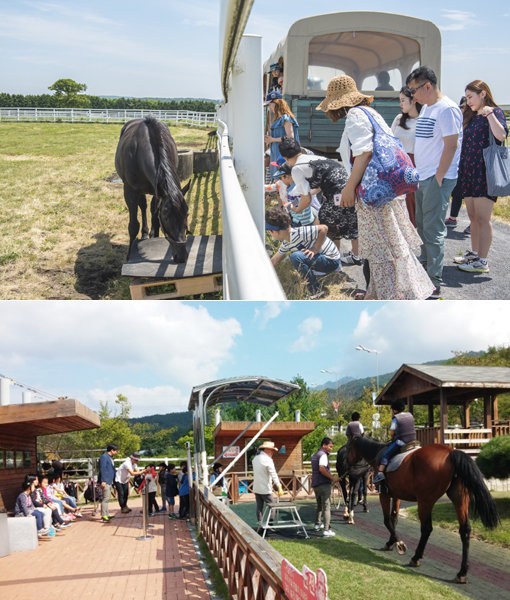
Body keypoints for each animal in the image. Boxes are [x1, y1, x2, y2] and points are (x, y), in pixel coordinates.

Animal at [114, 117, 190, 262]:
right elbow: (133, 225)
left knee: (146, 207)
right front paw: (129, 255)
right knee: (142, 206)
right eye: (166, 216)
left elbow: (155, 217)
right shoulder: (130, 191)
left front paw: (154, 236)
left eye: (187, 214)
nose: (181, 256)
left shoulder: (158, 191)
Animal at [346, 436, 498, 580]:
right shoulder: (396, 495)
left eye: (348, 447)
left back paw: (416, 557)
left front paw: (399, 544)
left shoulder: (384, 494)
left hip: (425, 501)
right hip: (459, 498)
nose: (346, 464)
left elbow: (387, 520)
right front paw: (391, 542)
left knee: (426, 528)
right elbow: (394, 518)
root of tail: (450, 453)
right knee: (465, 530)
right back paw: (462, 572)